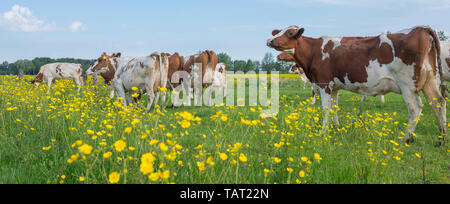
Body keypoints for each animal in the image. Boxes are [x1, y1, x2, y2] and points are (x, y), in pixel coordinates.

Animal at [268, 25, 446, 144]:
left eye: (290, 33)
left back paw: (406, 138)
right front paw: (336, 127)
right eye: (278, 32)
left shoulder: (324, 83)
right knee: (438, 102)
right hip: (429, 81)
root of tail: (421, 28)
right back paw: (442, 137)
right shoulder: (334, 87)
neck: (314, 51)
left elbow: (325, 109)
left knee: (416, 108)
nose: (269, 40)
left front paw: (323, 132)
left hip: (407, 84)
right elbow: (334, 107)